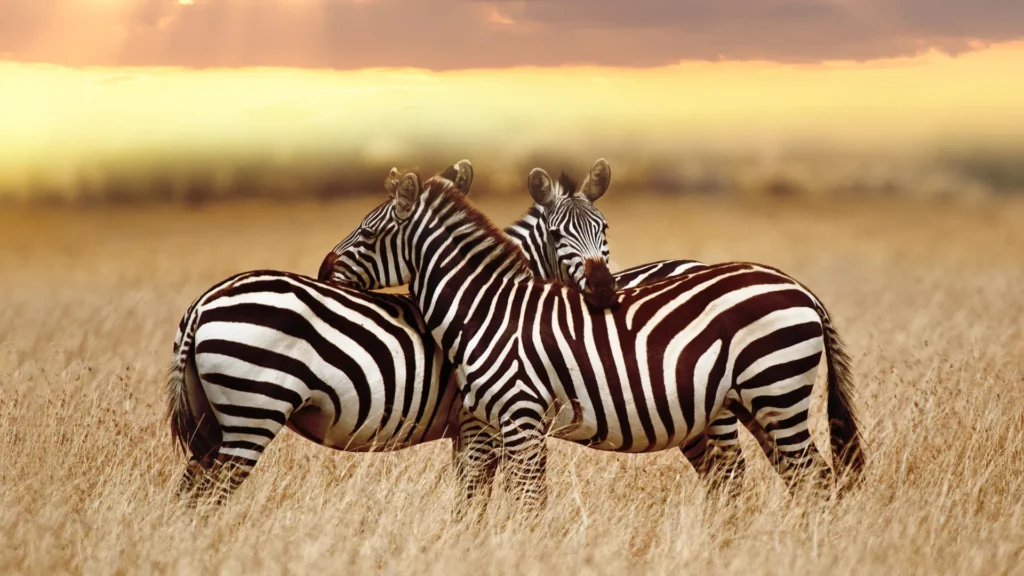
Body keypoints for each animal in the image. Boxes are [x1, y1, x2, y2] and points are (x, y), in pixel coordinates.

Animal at [320, 169, 866, 507]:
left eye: (369, 233)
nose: (324, 270)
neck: (489, 306)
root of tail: (799, 287)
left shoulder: (517, 417)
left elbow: (524, 501)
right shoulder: (493, 422)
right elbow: (488, 497)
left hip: (774, 391)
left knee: (813, 481)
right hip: (748, 405)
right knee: (777, 481)